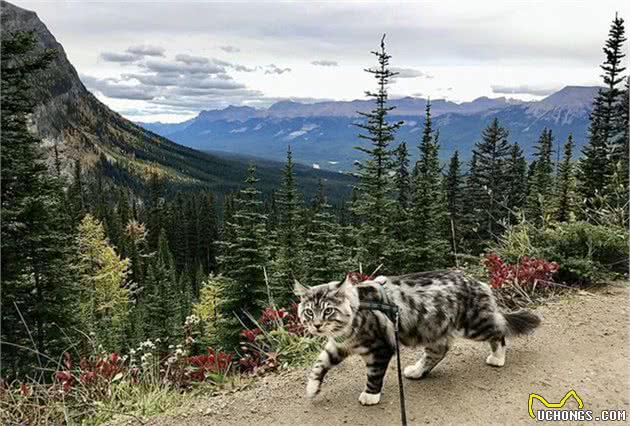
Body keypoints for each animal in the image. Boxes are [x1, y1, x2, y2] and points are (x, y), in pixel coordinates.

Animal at [296, 270, 544, 406]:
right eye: (309, 312)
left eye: (328, 311)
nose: (316, 325)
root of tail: (477, 281)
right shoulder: (338, 347)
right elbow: (319, 365)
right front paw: (312, 388)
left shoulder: (380, 348)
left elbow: (374, 375)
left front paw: (370, 395)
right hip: (434, 330)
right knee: (439, 352)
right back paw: (416, 371)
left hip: (474, 325)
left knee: (499, 332)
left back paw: (498, 358)